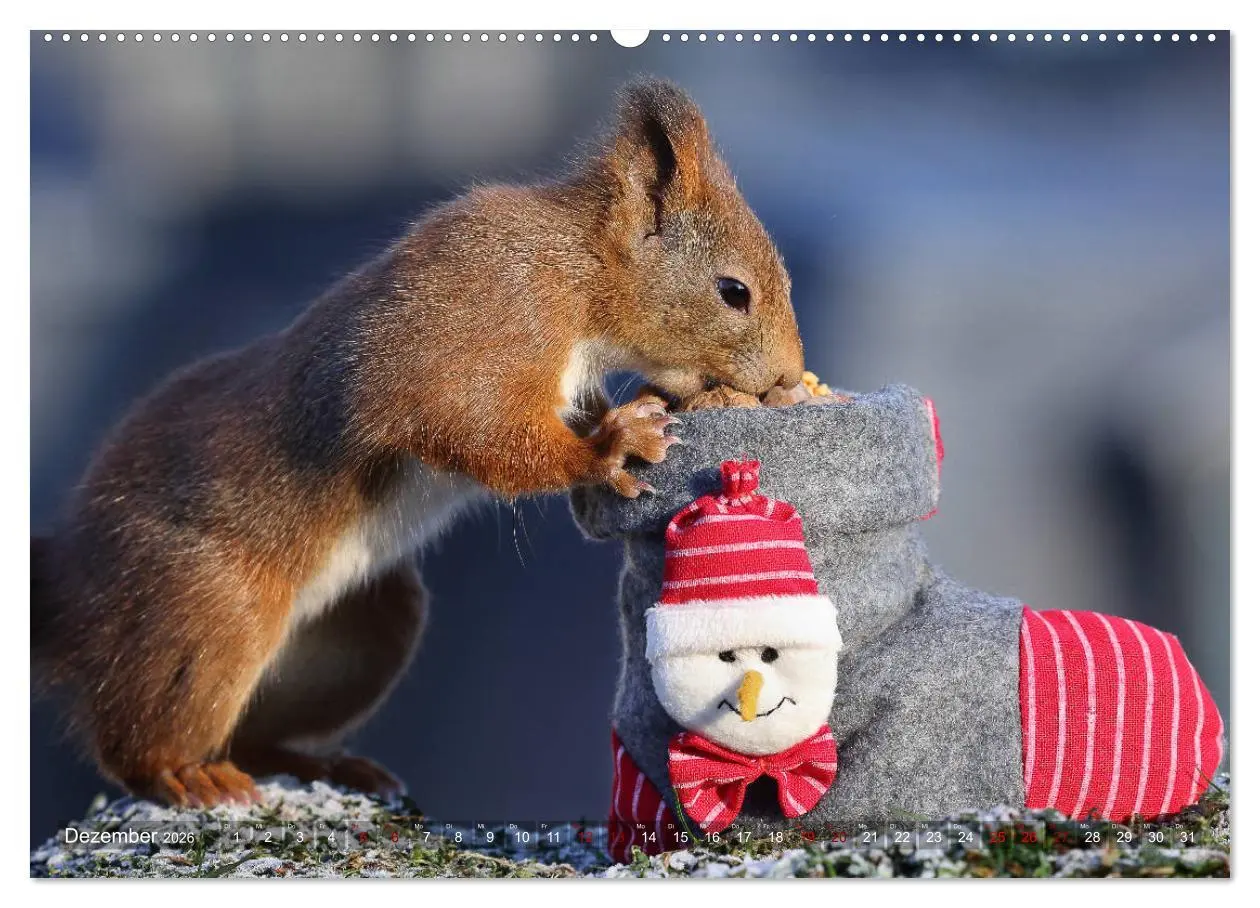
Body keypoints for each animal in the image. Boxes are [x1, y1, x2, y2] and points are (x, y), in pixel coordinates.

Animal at [30, 78, 805, 808]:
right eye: (734, 291)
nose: (789, 377)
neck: (577, 272)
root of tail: (70, 581)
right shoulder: (484, 318)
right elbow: (470, 424)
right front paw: (613, 445)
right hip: (202, 616)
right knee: (140, 734)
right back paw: (185, 772)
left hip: (364, 630)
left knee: (255, 736)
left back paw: (322, 762)